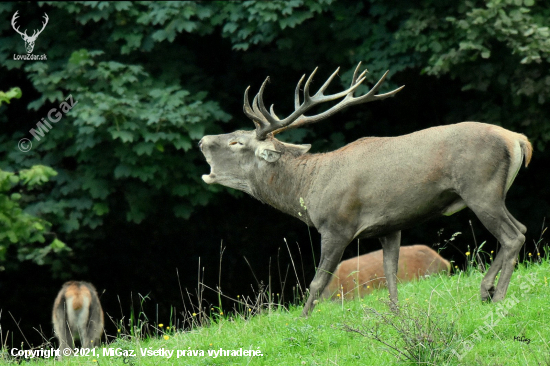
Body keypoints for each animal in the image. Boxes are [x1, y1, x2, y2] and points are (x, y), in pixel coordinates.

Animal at [201, 62, 532, 314]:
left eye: (236, 142)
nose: (203, 140)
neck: (309, 188)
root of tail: (517, 139)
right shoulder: (390, 225)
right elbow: (390, 274)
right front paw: (396, 313)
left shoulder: (337, 225)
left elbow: (317, 283)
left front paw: (302, 320)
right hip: (492, 193)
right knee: (521, 228)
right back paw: (486, 290)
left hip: (480, 188)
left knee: (513, 235)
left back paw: (497, 296)